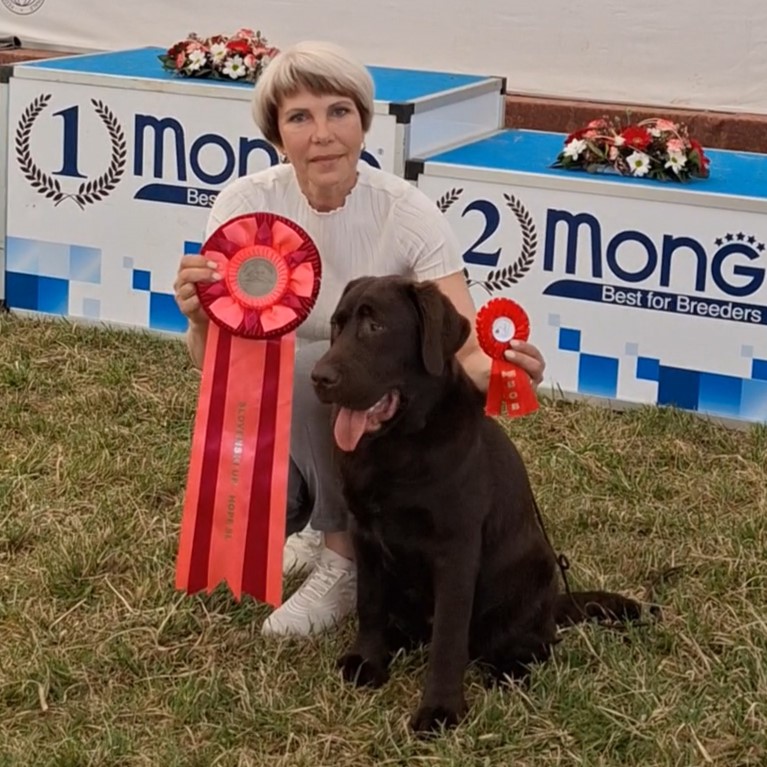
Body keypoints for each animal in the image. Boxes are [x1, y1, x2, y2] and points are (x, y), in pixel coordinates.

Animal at [311, 275, 647, 733]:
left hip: (535, 571)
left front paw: (440, 710)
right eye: (336, 325)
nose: (318, 377)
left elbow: (448, 639)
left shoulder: (455, 551)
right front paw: (368, 660)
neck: (399, 448)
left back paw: (510, 670)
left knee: (533, 643)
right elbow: (370, 603)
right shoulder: (365, 533)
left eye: (375, 327)